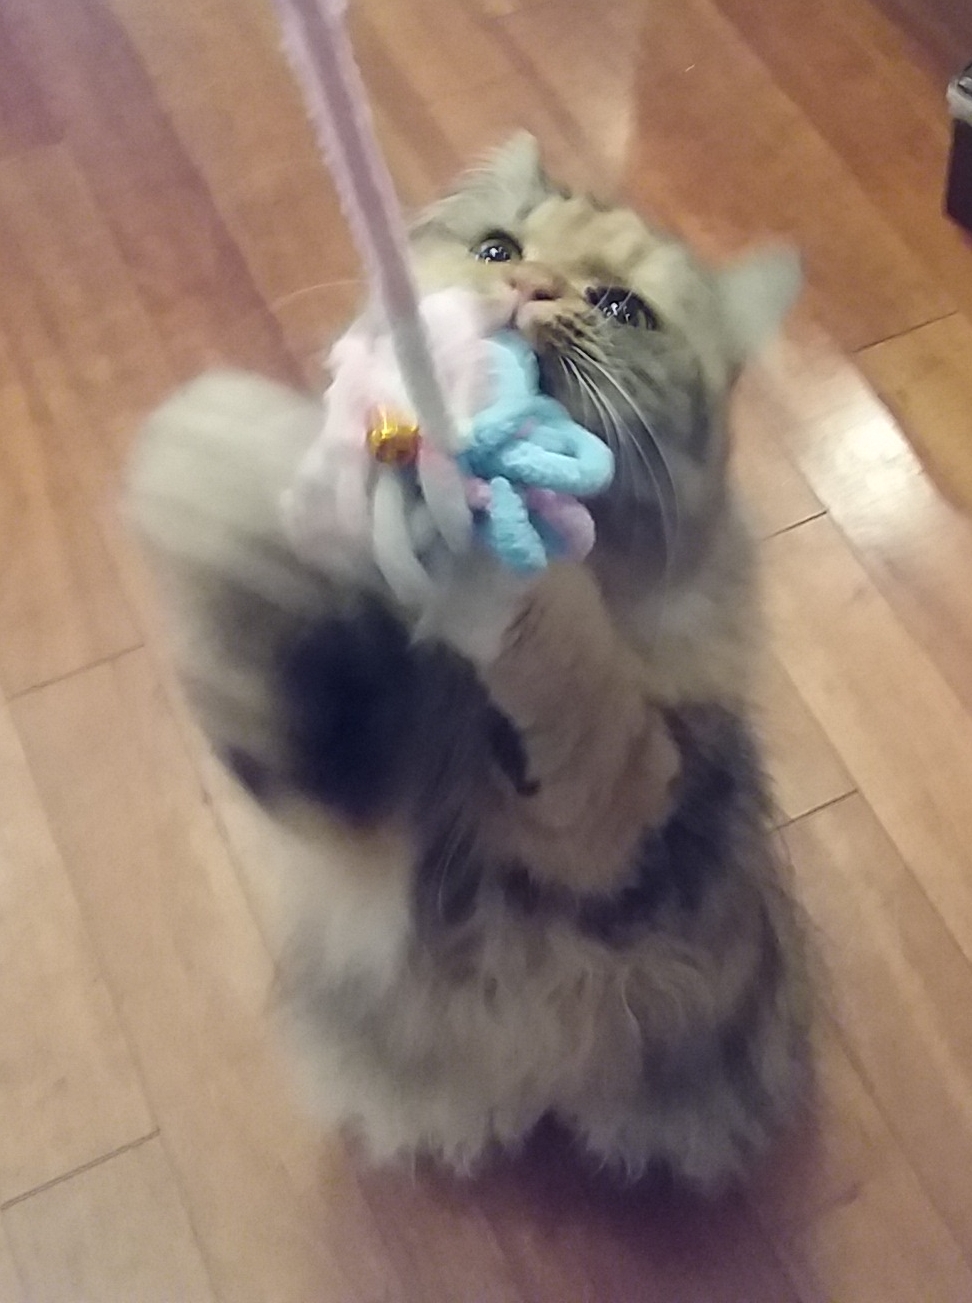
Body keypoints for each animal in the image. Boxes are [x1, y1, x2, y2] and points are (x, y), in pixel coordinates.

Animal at [127, 133, 811, 1190]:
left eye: (621, 309)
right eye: (498, 250)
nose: (527, 290)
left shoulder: (619, 835)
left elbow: (574, 675)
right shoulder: (345, 783)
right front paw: (222, 459)